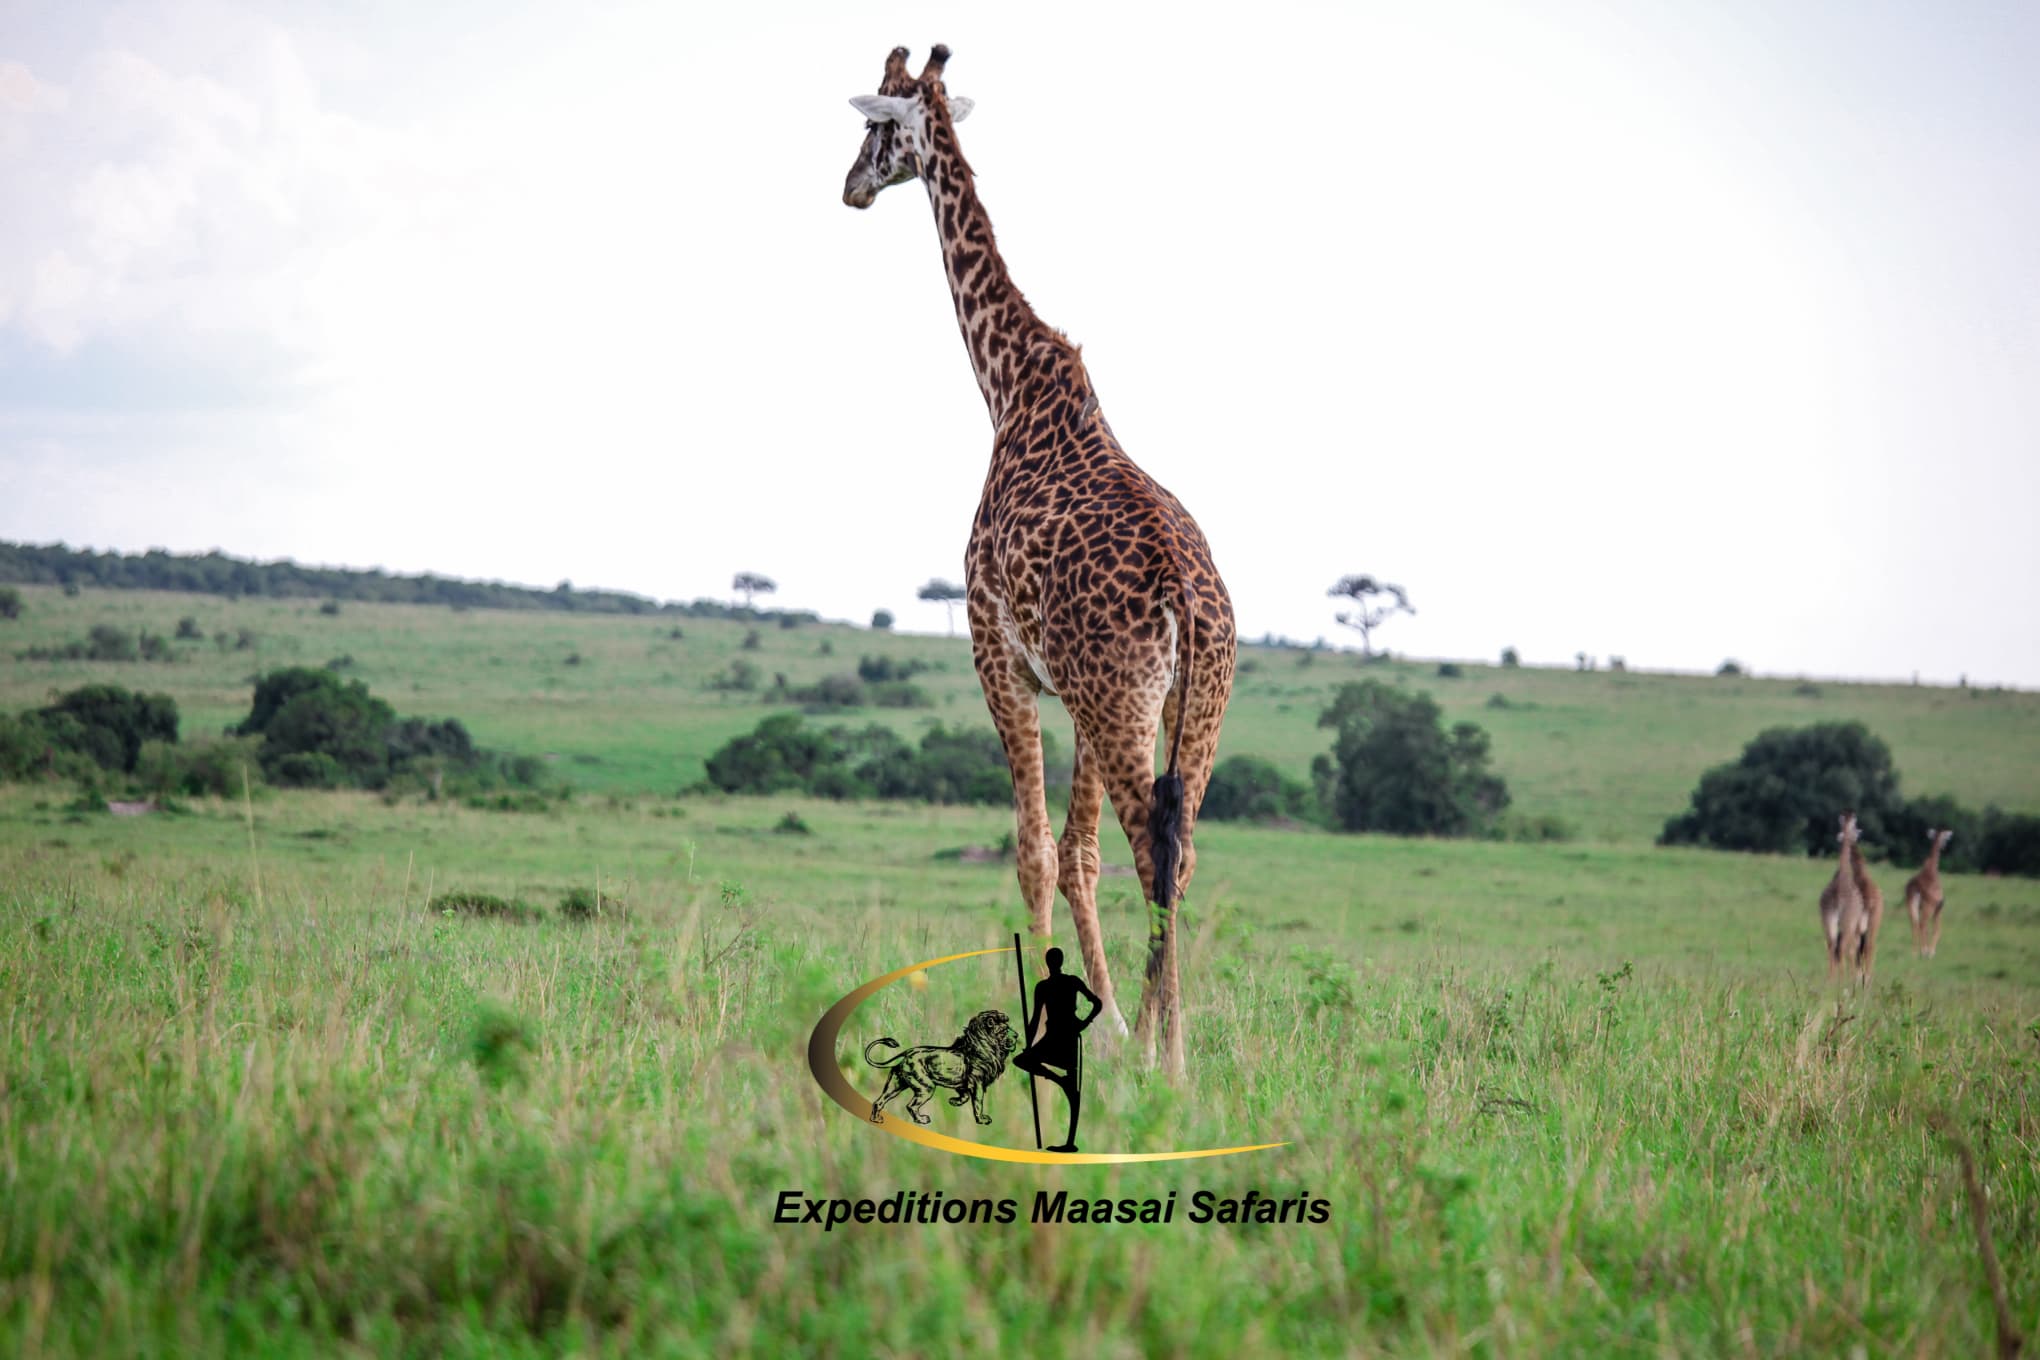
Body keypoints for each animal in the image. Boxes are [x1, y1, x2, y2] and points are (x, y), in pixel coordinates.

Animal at [841, 46, 1236, 1077]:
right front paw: (1108, 1024)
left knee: (1152, 848)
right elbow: (1078, 854)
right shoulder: (1076, 693)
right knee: (1177, 851)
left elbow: (1034, 852)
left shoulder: (998, 654)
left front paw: (1059, 1022)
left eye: (873, 127)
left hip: (1120, 699)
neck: (1008, 385)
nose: (849, 187)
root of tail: (1192, 602)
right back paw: (1171, 1051)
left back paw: (1170, 1063)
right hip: (1185, 707)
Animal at [1818, 811, 1865, 984]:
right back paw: (1843, 979)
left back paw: (1830, 979)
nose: (1858, 834)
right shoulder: (1855, 923)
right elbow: (1852, 949)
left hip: (1827, 918)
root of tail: (1838, 894)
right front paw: (1852, 978)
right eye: (1856, 828)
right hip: (1847, 922)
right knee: (1845, 947)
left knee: (1831, 945)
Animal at [1904, 828, 1953, 958]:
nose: (1944, 846)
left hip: (1910, 904)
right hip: (1928, 906)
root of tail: (1916, 888)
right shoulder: (1939, 907)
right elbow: (1937, 929)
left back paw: (1914, 952)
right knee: (1922, 924)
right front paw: (1931, 952)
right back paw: (1925, 951)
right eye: (1945, 838)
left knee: (1915, 923)